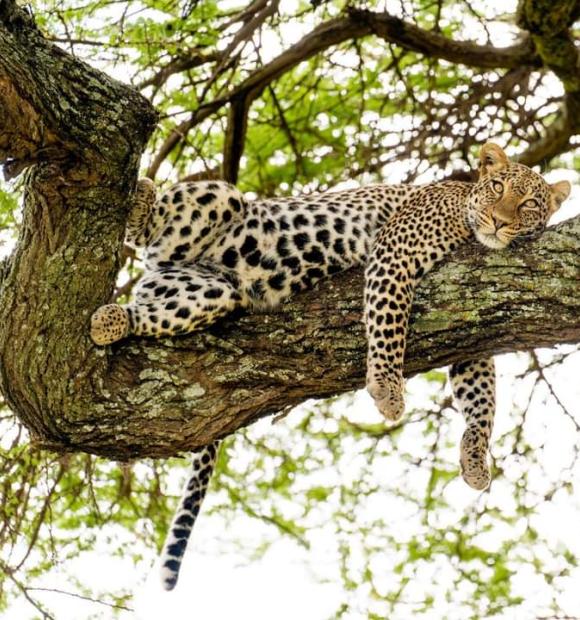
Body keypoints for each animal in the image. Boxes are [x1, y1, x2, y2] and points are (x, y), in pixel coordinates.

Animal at [90, 143, 572, 588]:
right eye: (498, 187)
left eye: (529, 204)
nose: (499, 221)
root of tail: (163, 269)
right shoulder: (396, 249)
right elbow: (389, 319)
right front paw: (387, 389)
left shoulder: (471, 312)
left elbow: (480, 395)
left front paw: (475, 457)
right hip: (217, 201)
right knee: (153, 226)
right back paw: (141, 199)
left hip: (208, 292)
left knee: (147, 312)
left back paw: (112, 320)